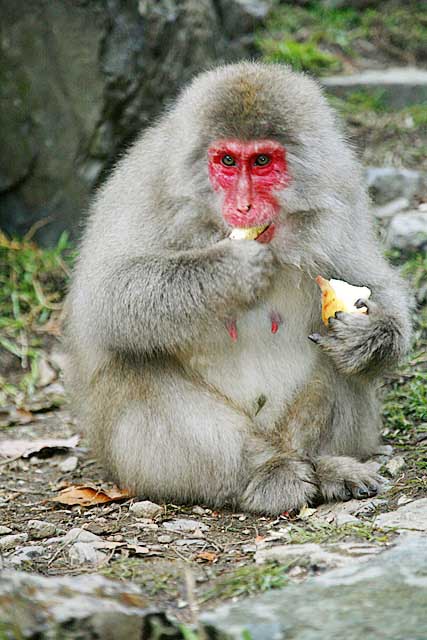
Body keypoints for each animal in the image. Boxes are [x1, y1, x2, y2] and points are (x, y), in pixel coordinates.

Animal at [65, 62, 412, 516]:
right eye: (227, 161)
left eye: (262, 161)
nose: (244, 206)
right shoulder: (147, 189)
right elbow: (105, 296)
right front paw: (229, 271)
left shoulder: (342, 195)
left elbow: (374, 282)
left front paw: (372, 336)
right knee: (134, 366)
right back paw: (261, 474)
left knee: (337, 366)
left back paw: (326, 465)